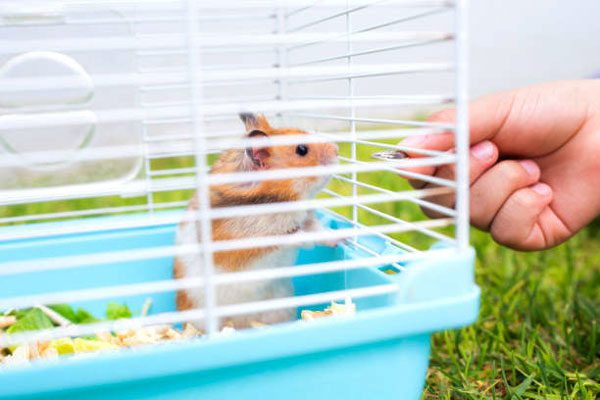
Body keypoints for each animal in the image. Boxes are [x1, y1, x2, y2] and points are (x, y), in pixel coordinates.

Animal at [173, 113, 338, 332]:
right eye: (302, 150)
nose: (337, 149)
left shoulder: (305, 219)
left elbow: (318, 230)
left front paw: (342, 239)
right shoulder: (256, 241)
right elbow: (299, 238)